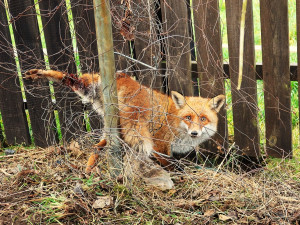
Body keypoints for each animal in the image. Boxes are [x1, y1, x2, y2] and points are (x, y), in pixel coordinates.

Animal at [25, 69, 225, 168]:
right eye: (188, 117)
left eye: (203, 119)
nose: (194, 133)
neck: (174, 121)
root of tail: (124, 78)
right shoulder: (160, 146)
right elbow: (168, 164)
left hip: (104, 113)